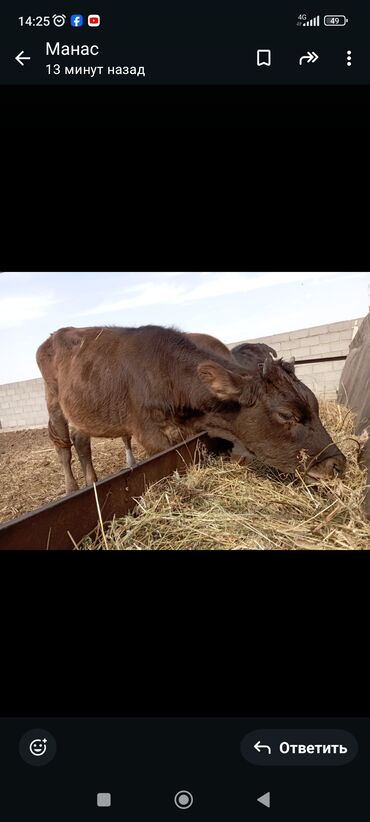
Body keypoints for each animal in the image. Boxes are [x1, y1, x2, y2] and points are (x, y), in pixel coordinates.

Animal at [36, 326, 346, 496]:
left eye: (315, 404)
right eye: (287, 415)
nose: (338, 464)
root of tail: (54, 335)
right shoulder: (151, 433)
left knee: (81, 441)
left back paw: (92, 482)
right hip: (53, 402)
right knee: (63, 446)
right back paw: (73, 489)